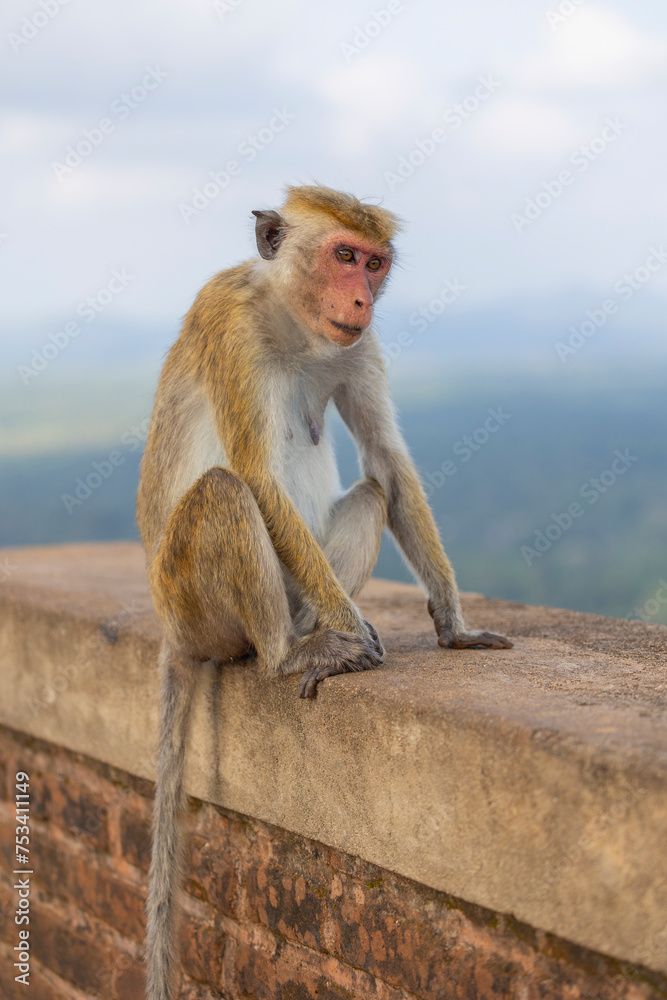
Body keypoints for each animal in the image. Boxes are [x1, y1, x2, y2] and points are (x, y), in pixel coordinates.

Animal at [136, 184, 513, 1000]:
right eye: (343, 255)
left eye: (374, 263)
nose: (362, 297)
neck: (294, 327)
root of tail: (172, 629)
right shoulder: (229, 322)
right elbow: (256, 471)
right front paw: (356, 632)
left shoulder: (356, 346)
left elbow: (389, 463)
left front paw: (453, 623)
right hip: (193, 604)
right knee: (225, 490)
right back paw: (292, 652)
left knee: (370, 493)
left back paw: (316, 627)